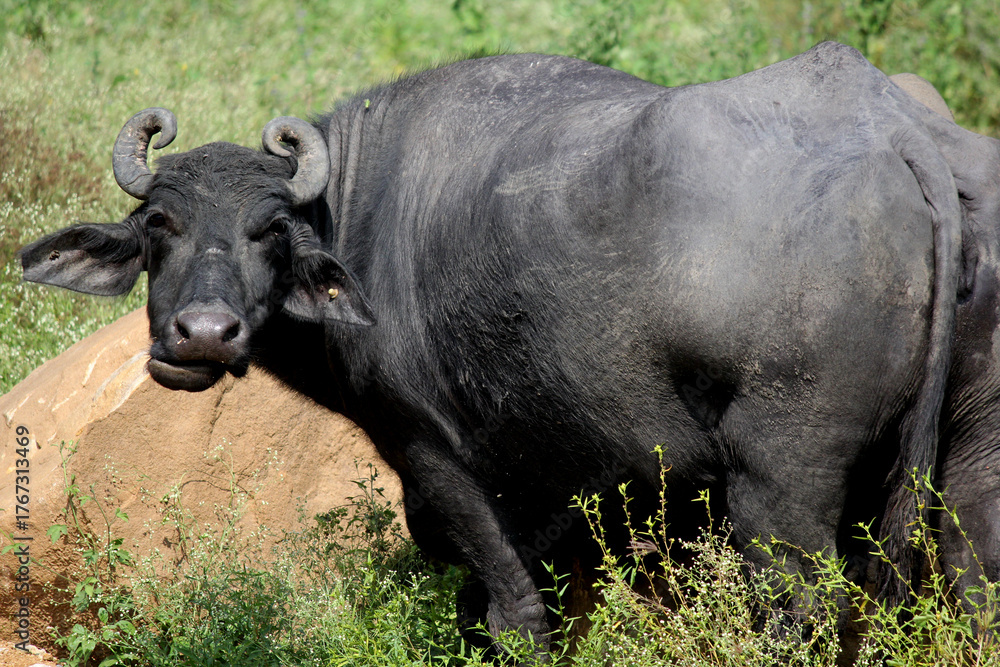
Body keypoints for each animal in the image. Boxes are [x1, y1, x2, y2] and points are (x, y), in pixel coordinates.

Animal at [21, 42, 1000, 650]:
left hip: (780, 481)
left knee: (799, 607)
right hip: (968, 461)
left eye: (268, 230)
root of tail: (901, 136)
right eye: (160, 225)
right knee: (973, 577)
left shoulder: (437, 455)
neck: (364, 208)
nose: (203, 335)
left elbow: (508, 610)